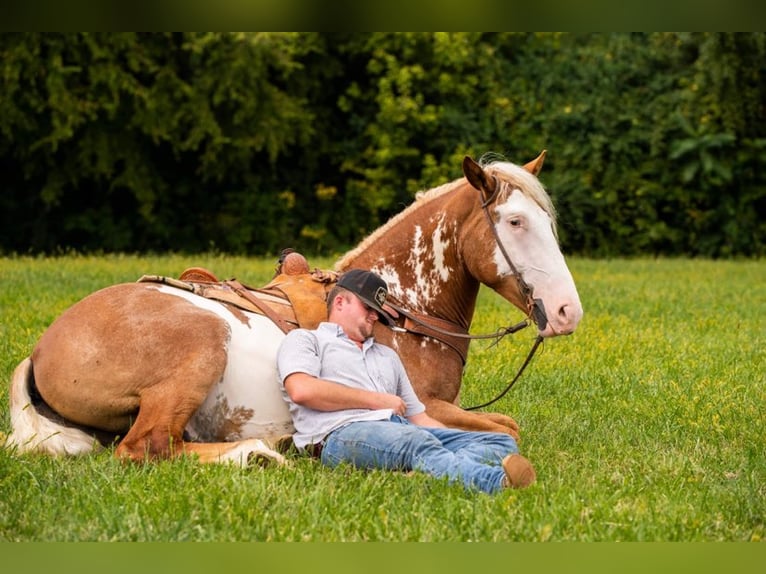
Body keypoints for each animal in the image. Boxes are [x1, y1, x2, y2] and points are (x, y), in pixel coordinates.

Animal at [4, 153, 584, 468]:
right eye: (514, 222)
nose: (566, 311)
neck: (396, 309)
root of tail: (42, 349)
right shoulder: (423, 407)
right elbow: (507, 428)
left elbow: (505, 423)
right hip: (200, 346)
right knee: (145, 448)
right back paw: (256, 452)